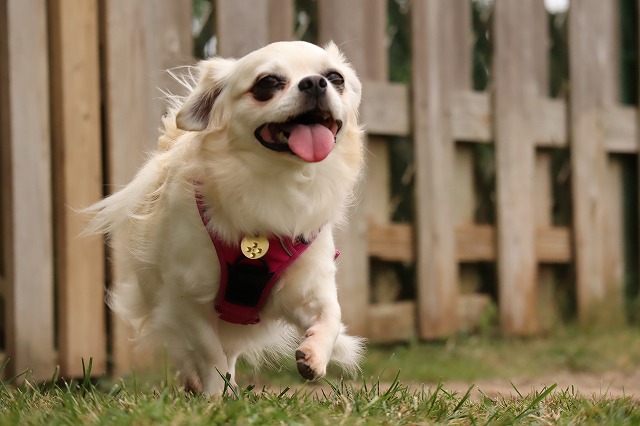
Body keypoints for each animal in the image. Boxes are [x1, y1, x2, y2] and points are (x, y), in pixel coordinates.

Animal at [86, 41, 365, 395]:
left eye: (335, 78)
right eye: (267, 83)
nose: (316, 83)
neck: (276, 182)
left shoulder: (307, 286)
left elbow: (331, 314)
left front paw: (313, 356)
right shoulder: (187, 300)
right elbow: (210, 354)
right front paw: (214, 396)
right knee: (192, 351)